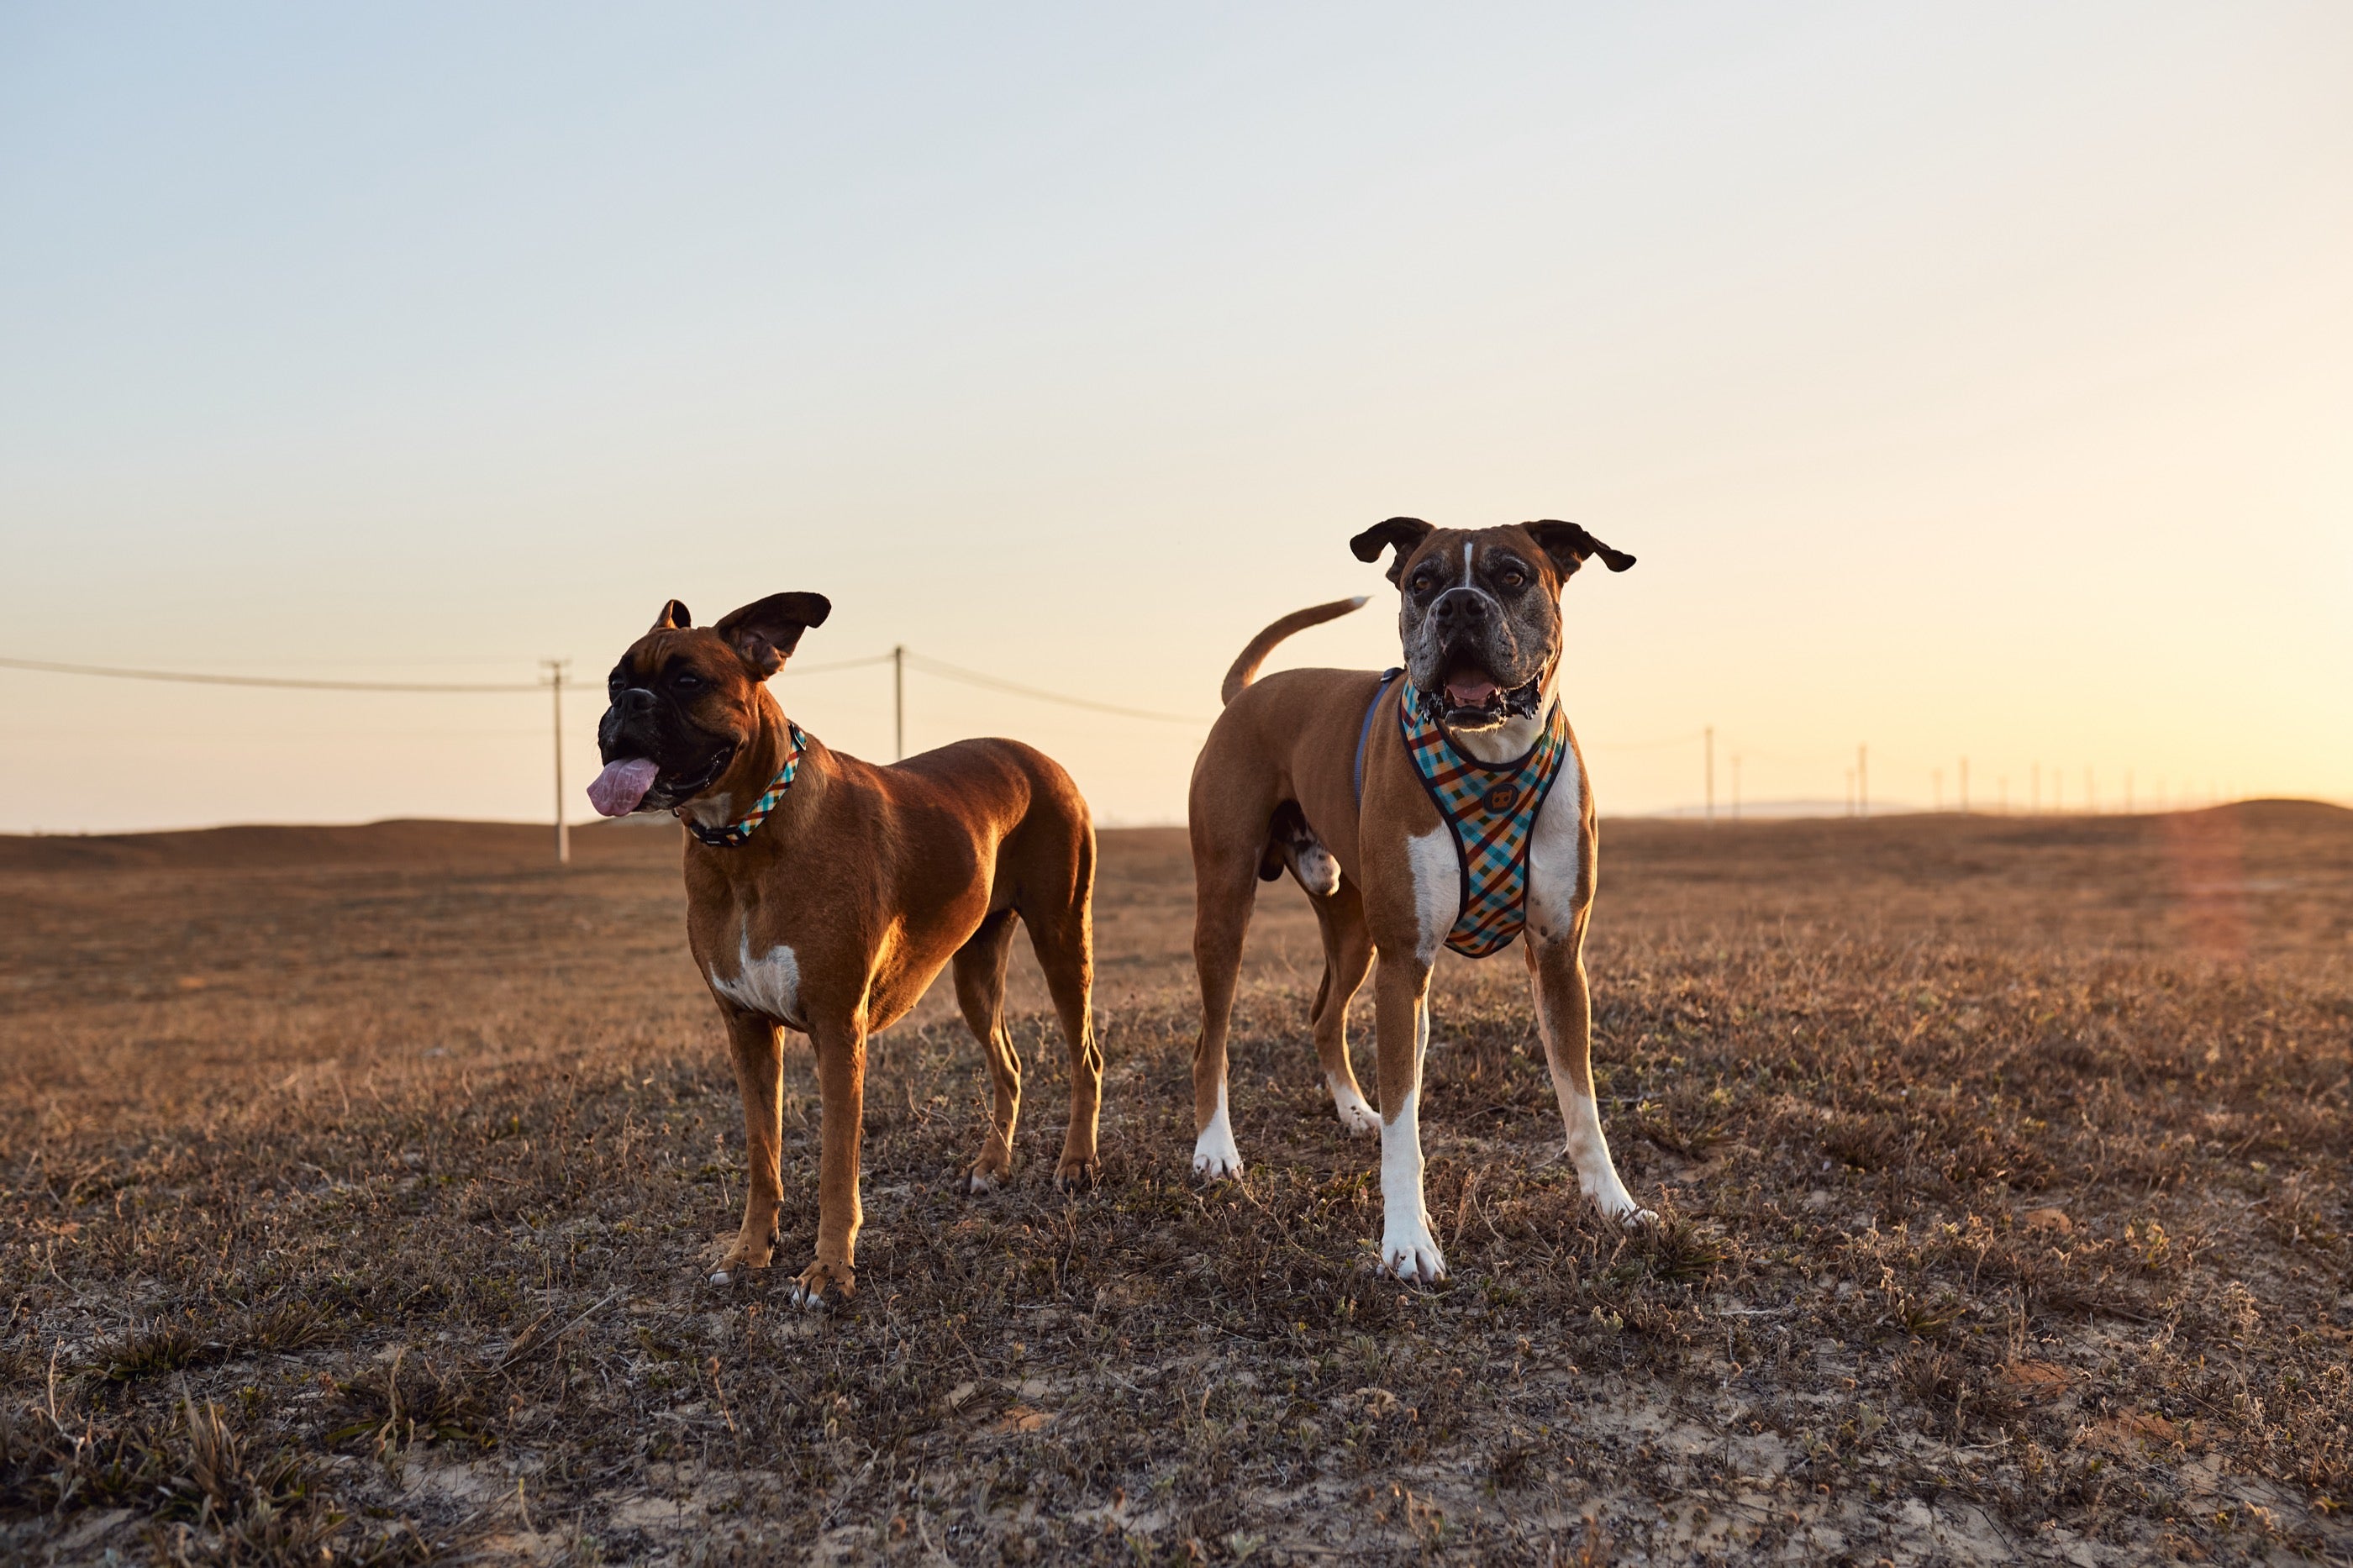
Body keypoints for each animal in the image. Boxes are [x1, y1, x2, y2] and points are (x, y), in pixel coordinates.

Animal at [588, 593, 1101, 1299]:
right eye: (615, 680)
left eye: (688, 680)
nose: (628, 705)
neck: (745, 840)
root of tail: (1043, 758)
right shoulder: (746, 1030)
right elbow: (763, 1157)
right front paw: (749, 1253)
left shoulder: (838, 1030)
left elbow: (836, 1166)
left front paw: (829, 1270)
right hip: (974, 972)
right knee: (1010, 1063)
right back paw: (991, 1165)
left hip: (1061, 938)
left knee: (1086, 1057)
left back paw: (1077, 1163)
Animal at [1186, 518, 1647, 1281]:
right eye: (1422, 581)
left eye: (1514, 575)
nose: (1459, 607)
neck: (1493, 759)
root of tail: (1246, 695)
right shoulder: (1406, 965)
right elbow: (1406, 1130)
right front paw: (1407, 1240)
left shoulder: (1558, 957)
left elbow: (1581, 1102)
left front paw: (1614, 1204)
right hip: (1227, 906)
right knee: (1211, 1040)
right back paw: (1216, 1151)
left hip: (1352, 928)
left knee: (1323, 1016)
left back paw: (1352, 1112)